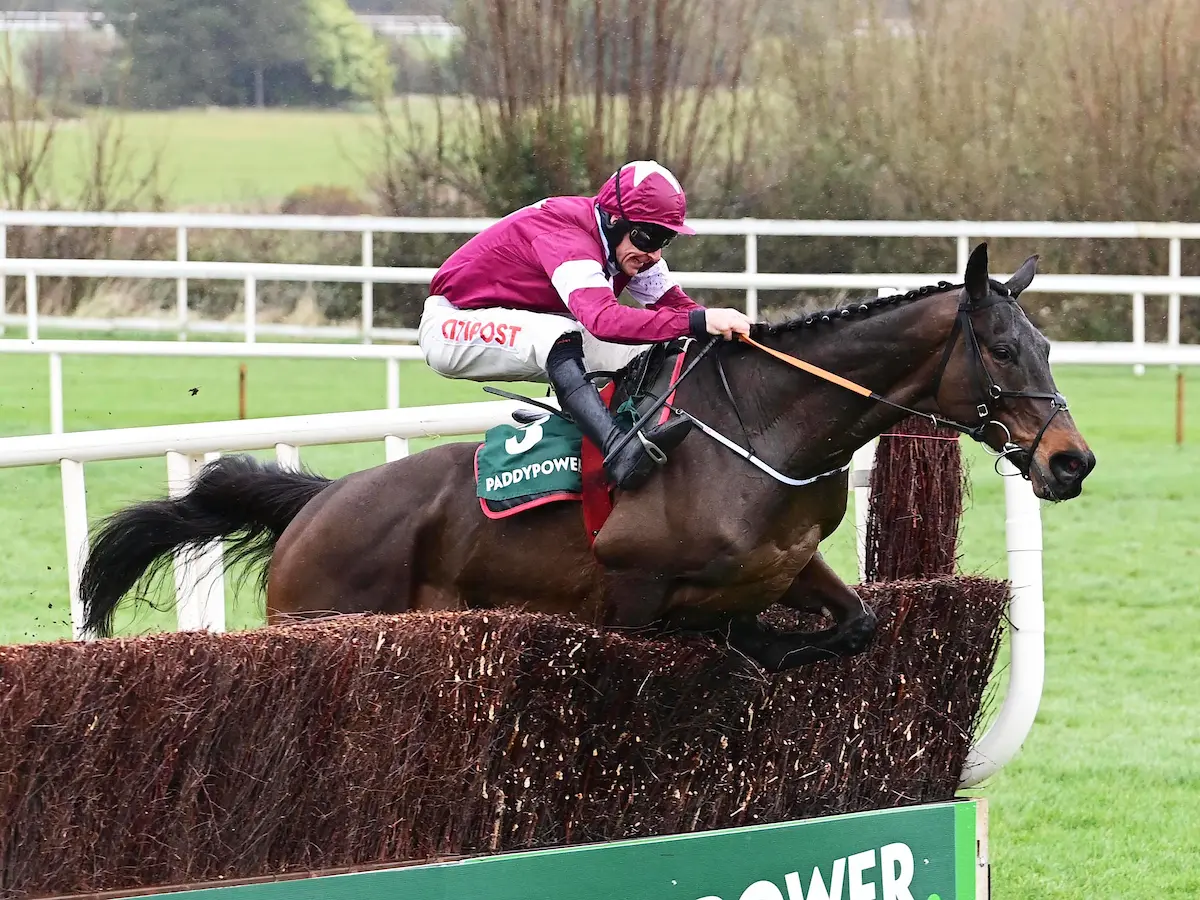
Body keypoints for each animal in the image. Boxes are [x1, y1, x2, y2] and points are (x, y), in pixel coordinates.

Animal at [78, 243, 1095, 672]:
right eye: (1002, 349)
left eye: (1046, 346)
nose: (1071, 462)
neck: (761, 429)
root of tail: (319, 505)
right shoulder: (632, 592)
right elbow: (693, 636)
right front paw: (746, 647)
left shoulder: (788, 564)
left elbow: (858, 623)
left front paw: (771, 644)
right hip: (322, 613)